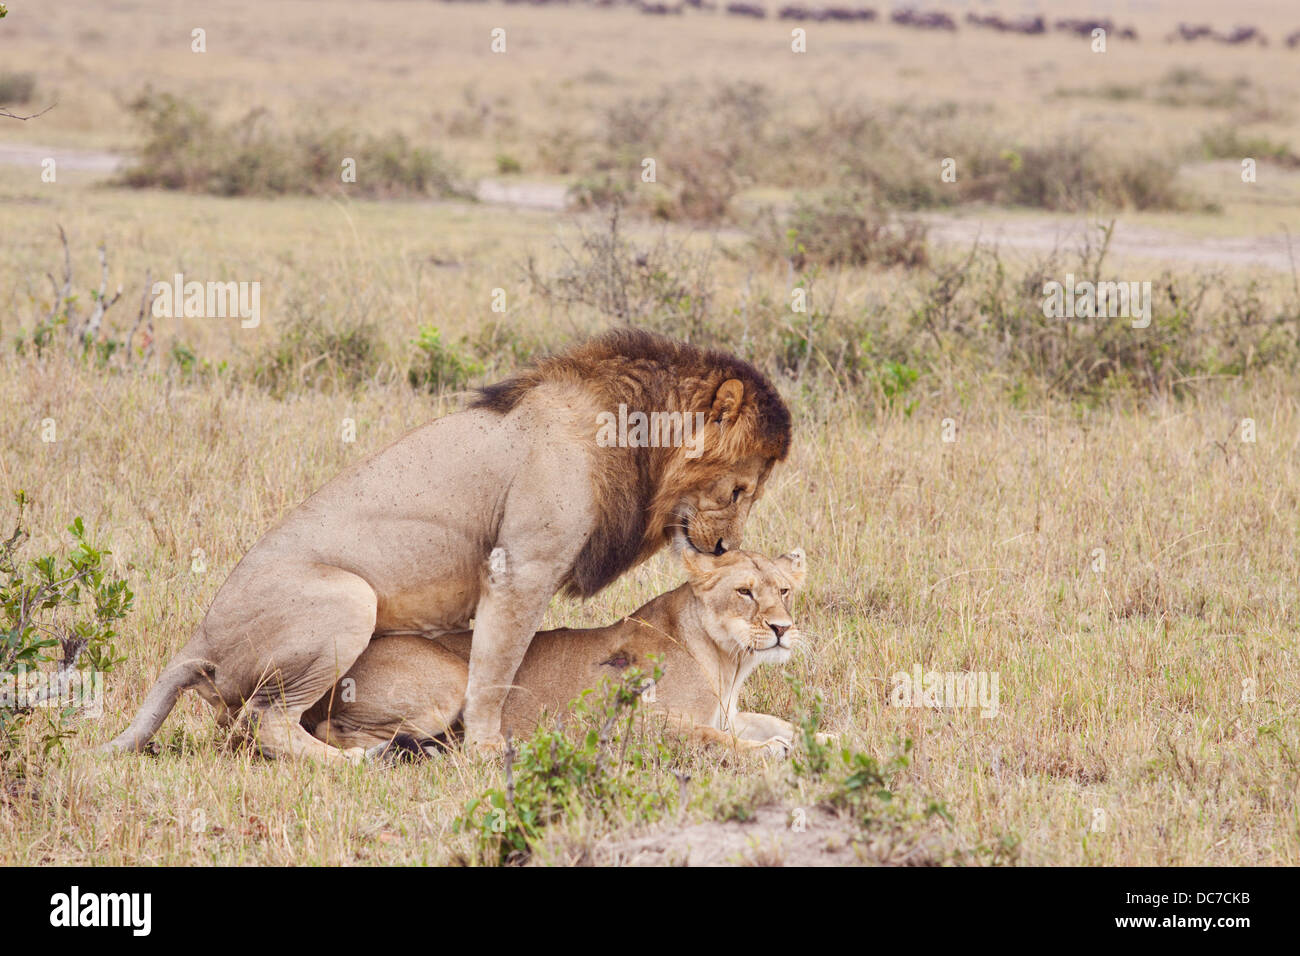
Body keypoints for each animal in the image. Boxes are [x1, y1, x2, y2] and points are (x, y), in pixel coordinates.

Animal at [304, 548, 810, 757]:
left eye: (784, 591)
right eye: (745, 592)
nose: (782, 629)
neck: (729, 661)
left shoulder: (728, 713)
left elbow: (779, 722)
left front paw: (817, 739)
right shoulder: (632, 720)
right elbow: (713, 739)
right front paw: (771, 752)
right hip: (450, 684)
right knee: (333, 730)